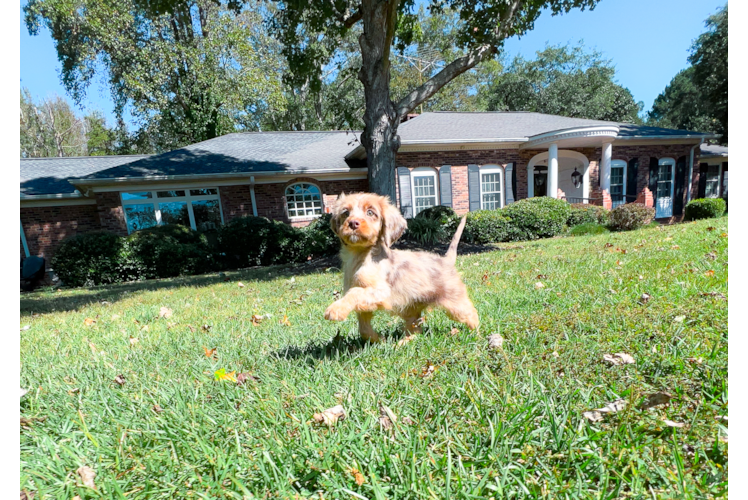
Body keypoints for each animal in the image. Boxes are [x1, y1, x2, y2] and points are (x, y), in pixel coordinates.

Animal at [322, 190, 480, 340]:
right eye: (345, 213)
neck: (359, 257)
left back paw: (476, 335)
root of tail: (446, 260)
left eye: (370, 212)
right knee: (416, 329)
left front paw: (335, 310)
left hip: (456, 304)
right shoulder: (365, 305)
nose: (353, 223)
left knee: (472, 314)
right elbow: (364, 329)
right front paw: (379, 340)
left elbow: (355, 292)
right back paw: (403, 342)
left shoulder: (381, 291)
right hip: (410, 308)